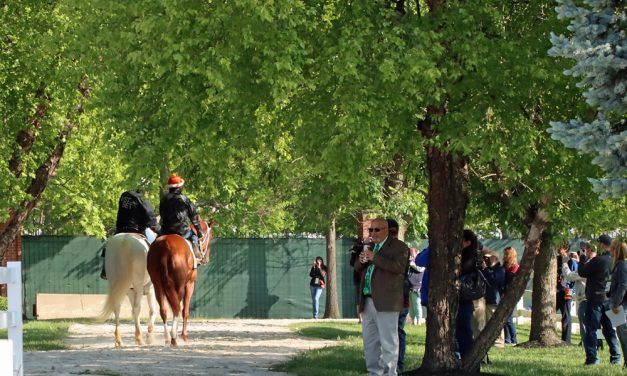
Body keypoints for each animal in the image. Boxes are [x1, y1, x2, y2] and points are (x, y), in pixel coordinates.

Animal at [147, 217, 213, 346]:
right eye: (211, 236)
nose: (206, 258)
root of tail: (164, 245)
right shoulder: (190, 284)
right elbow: (185, 311)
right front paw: (184, 336)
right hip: (179, 285)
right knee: (176, 307)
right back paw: (173, 337)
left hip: (157, 284)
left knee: (164, 310)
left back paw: (168, 338)